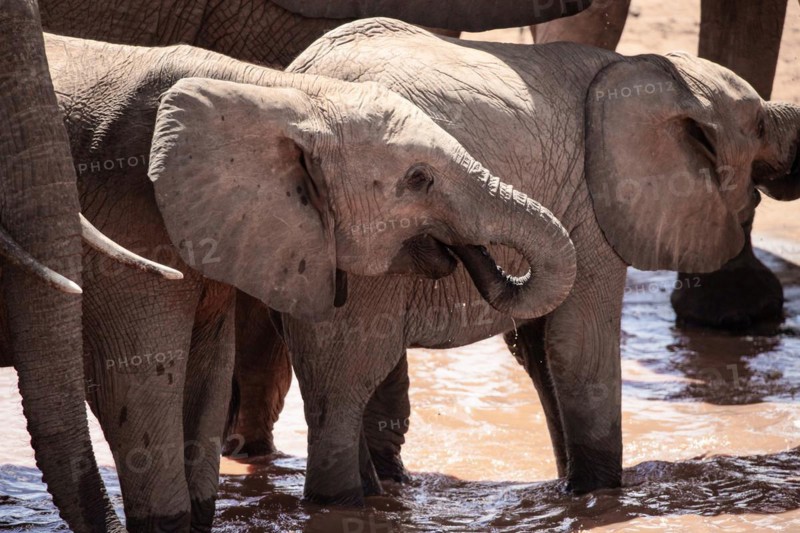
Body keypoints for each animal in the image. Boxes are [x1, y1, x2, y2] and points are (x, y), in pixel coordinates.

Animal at [44, 33, 577, 530]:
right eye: (419, 178)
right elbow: (135, 377)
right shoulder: (128, 213)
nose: (479, 257)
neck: (279, 92)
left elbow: (209, 374)